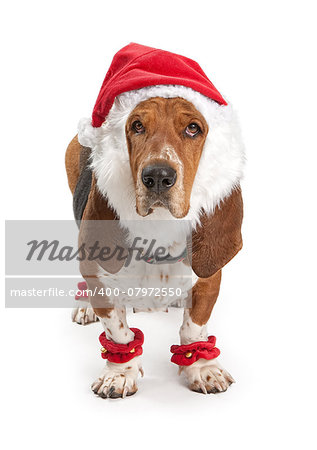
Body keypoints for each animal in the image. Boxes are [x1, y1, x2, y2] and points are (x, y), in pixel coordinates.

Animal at [65, 44, 244, 400]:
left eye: (193, 128)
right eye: (136, 126)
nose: (159, 176)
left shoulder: (208, 280)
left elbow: (194, 328)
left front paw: (201, 366)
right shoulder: (104, 286)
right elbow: (118, 332)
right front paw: (119, 373)